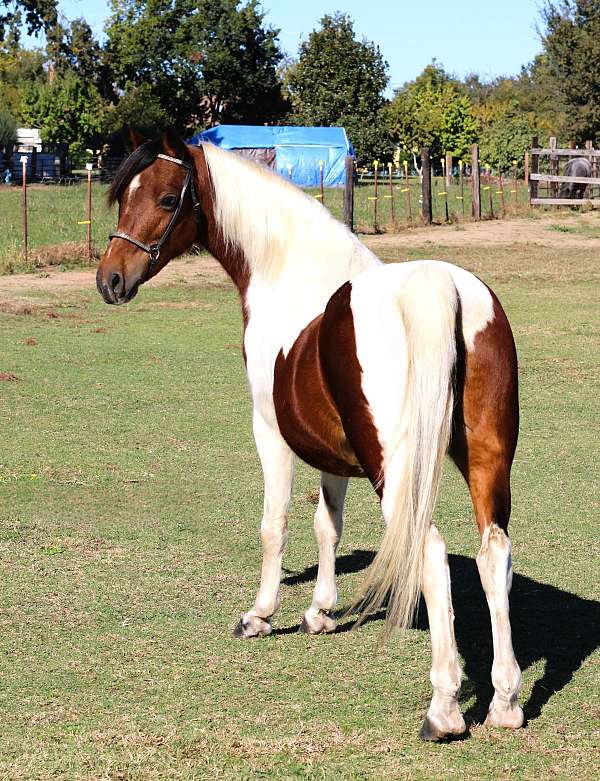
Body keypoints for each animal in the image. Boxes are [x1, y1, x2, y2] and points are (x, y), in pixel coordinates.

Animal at [96, 131, 524, 740]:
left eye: (165, 198)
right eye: (125, 195)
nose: (110, 279)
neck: (292, 276)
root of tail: (442, 287)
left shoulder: (272, 433)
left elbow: (274, 526)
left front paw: (259, 615)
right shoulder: (331, 451)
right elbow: (328, 525)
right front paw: (320, 611)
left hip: (396, 472)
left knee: (431, 554)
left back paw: (443, 708)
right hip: (486, 459)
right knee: (494, 555)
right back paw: (505, 701)